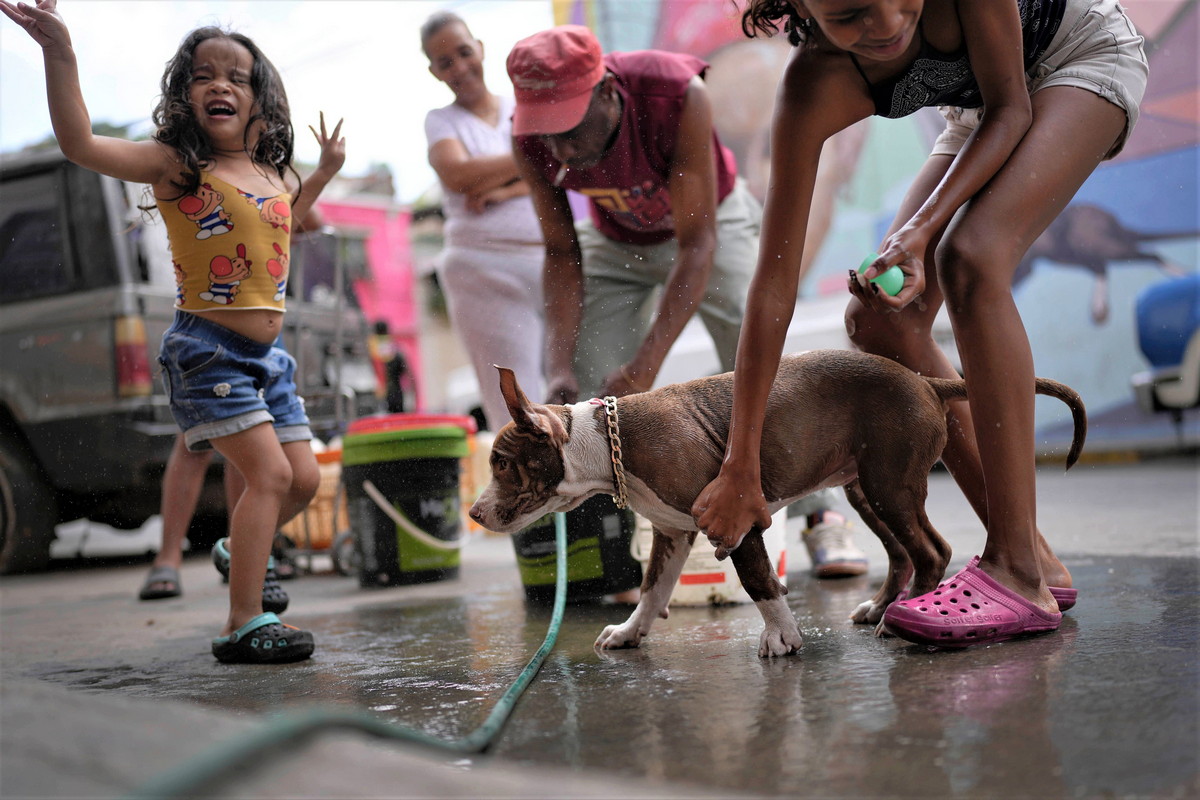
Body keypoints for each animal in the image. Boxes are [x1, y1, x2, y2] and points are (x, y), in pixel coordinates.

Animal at [470, 350, 1089, 657]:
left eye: (500, 463)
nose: (474, 513)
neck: (602, 444)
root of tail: (928, 382)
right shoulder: (673, 532)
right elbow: (653, 589)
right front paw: (629, 632)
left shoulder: (736, 519)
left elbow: (759, 580)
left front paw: (782, 636)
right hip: (864, 488)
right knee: (901, 553)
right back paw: (881, 608)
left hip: (890, 483)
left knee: (930, 550)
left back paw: (898, 620)